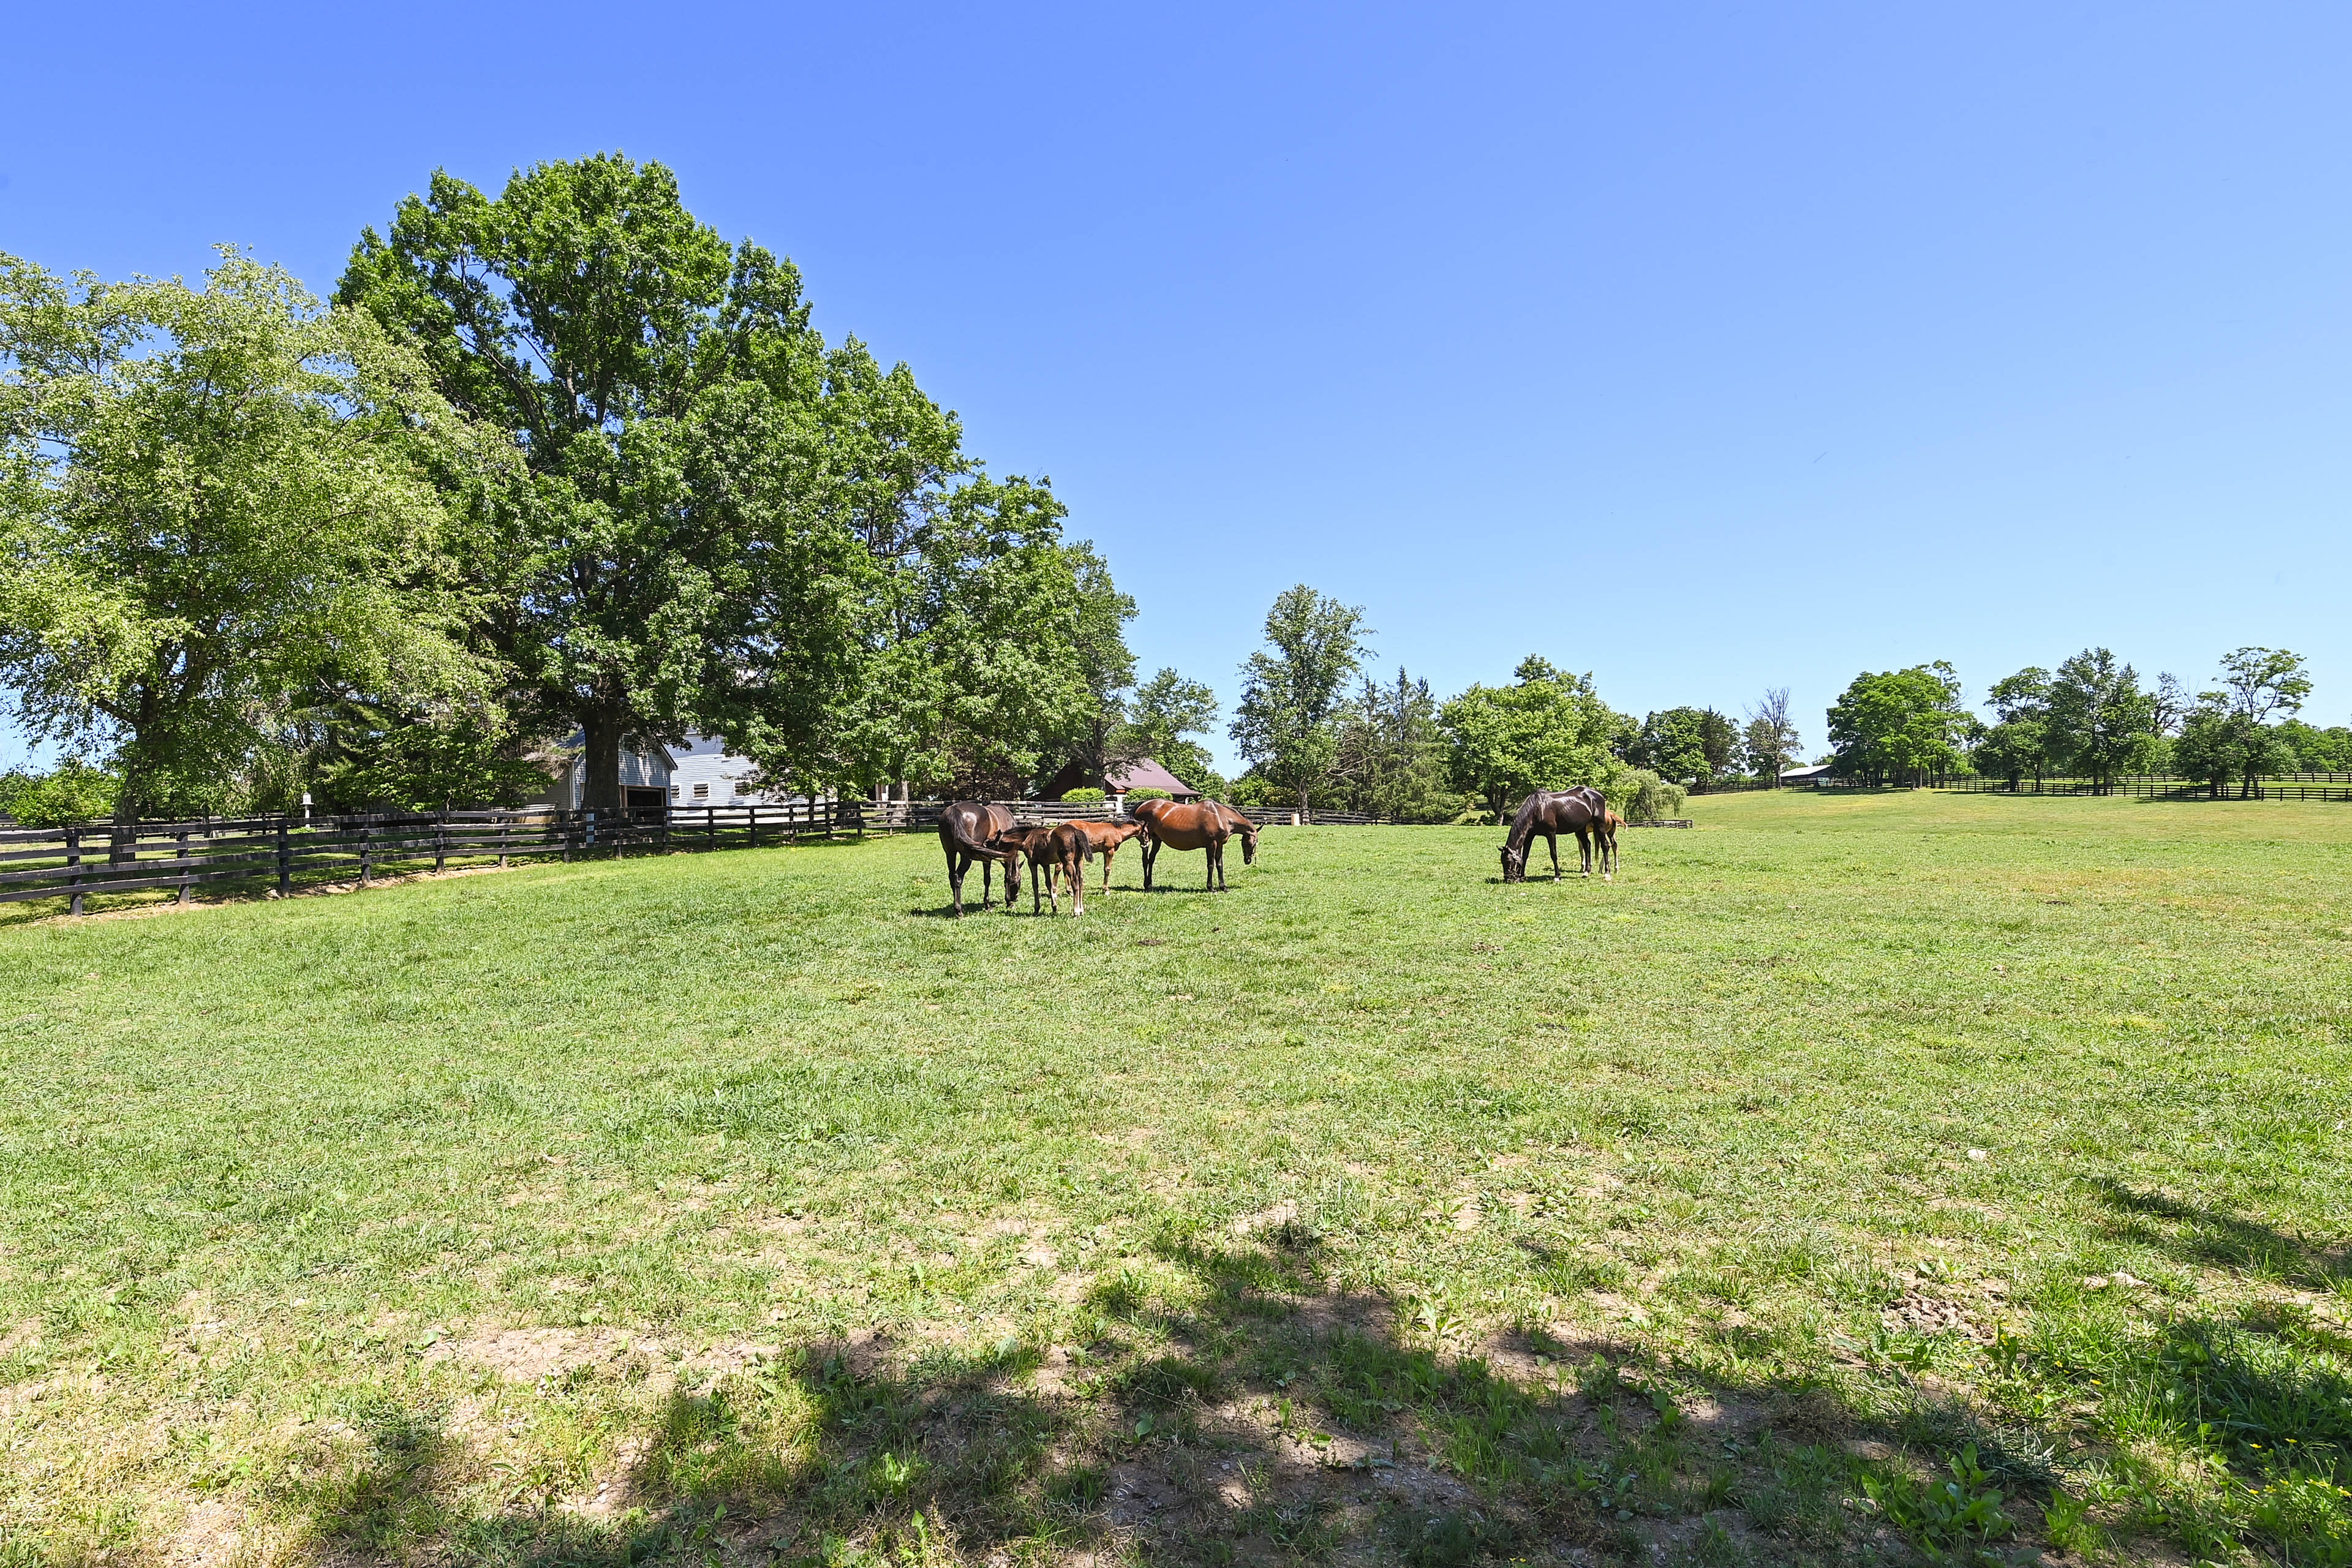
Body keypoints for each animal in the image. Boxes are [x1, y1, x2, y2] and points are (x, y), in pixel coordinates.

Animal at [931, 804, 1016, 912]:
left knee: (952, 877)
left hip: (950, 853)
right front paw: (1009, 902)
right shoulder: (1007, 856)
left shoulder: (986, 859)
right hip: (966, 857)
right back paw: (959, 910)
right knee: (958, 877)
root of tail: (954, 811)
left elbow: (987, 880)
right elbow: (1007, 877)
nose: (1015, 898)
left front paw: (987, 905)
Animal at [1133, 799, 1261, 893]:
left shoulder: (1220, 845)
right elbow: (1211, 865)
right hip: (1146, 840)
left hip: (1157, 840)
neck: (1221, 816)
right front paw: (1211, 888)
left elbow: (1220, 865)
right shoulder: (1211, 844)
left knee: (1151, 860)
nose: (1248, 860)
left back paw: (1150, 885)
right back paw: (1146, 886)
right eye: (1255, 843)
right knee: (1145, 860)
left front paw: (1223, 887)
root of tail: (1143, 804)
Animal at [1496, 785, 1608, 884]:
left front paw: (1557, 876)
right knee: (1587, 846)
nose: (1508, 879)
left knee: (1605, 846)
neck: (1537, 808)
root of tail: (1598, 794)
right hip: (1580, 829)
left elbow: (1553, 854)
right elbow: (1525, 855)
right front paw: (1522, 876)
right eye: (1502, 861)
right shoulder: (1530, 836)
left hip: (1600, 825)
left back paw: (1607, 874)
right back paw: (1587, 872)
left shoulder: (1551, 834)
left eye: (1508, 861)